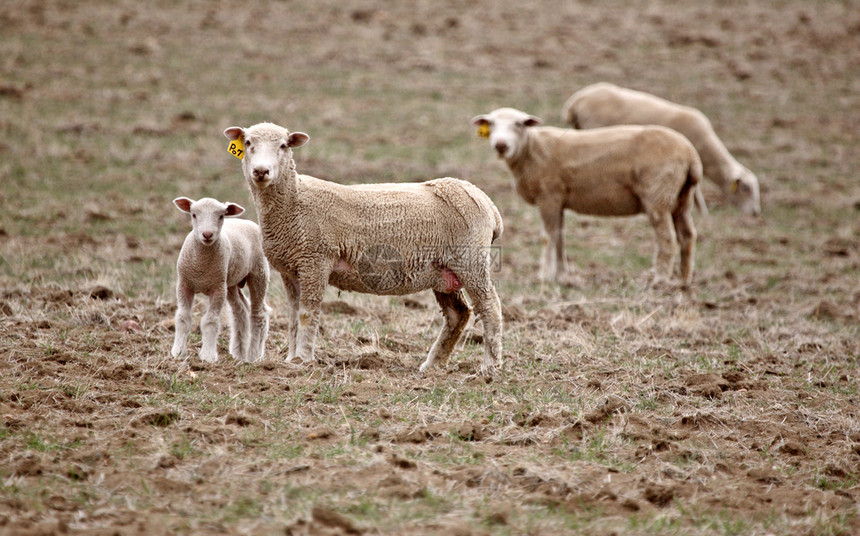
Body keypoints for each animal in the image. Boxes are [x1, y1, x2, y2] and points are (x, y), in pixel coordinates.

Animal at [170, 197, 270, 364]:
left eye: (221, 216)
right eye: (194, 214)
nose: (207, 234)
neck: (201, 266)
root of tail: (246, 221)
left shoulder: (217, 288)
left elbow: (210, 321)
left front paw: (208, 356)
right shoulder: (184, 285)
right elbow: (183, 318)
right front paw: (178, 353)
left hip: (259, 273)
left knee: (258, 314)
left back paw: (253, 355)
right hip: (231, 282)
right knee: (241, 311)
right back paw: (239, 352)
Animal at [222, 122, 504, 374]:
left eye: (283, 146)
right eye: (248, 143)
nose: (261, 171)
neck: (295, 200)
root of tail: (489, 205)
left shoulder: (315, 259)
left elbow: (307, 313)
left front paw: (303, 359)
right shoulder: (292, 269)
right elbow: (293, 315)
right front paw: (291, 359)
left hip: (470, 259)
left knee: (490, 307)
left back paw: (490, 366)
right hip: (442, 271)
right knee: (458, 314)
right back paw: (432, 364)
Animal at [474, 106, 704, 286]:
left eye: (519, 124)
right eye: (491, 124)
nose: (501, 145)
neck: (530, 149)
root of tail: (690, 155)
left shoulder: (549, 195)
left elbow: (548, 236)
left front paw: (544, 275)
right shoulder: (559, 200)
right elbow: (560, 236)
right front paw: (561, 276)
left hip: (658, 196)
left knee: (667, 238)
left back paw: (660, 280)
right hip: (682, 198)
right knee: (687, 236)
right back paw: (683, 281)